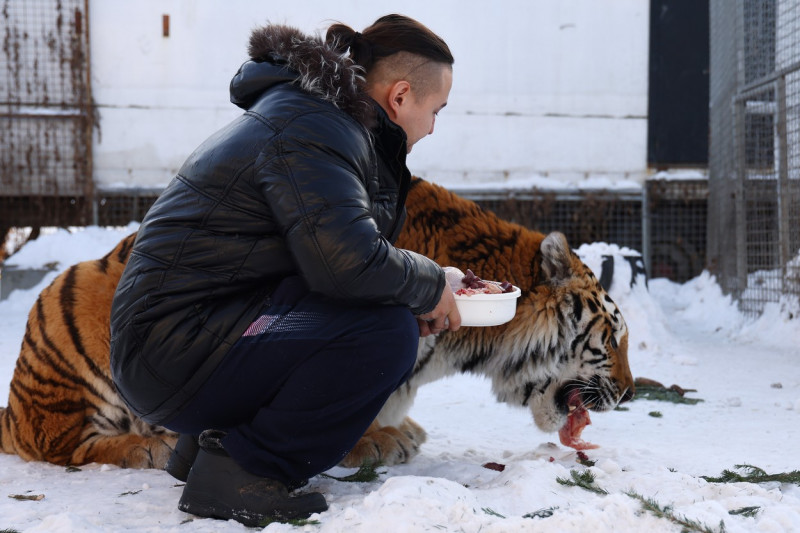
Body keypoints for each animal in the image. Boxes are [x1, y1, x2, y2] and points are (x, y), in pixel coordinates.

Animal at [1, 179, 636, 470]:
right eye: (610, 339)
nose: (630, 394)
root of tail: (15, 407)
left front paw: (397, 430)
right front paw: (373, 440)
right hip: (72, 329)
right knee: (62, 445)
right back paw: (146, 447)